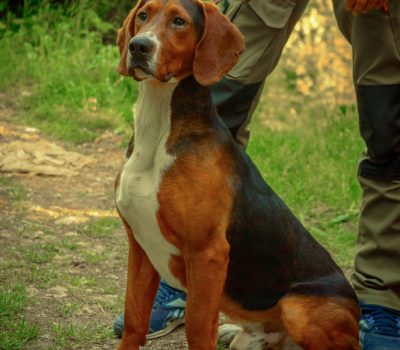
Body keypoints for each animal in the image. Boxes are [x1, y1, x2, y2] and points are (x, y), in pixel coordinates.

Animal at [114, 1, 360, 348]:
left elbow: (197, 329)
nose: (138, 46)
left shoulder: (208, 254)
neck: (161, 126)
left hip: (296, 307)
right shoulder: (140, 246)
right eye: (143, 16)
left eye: (179, 21)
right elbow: (135, 320)